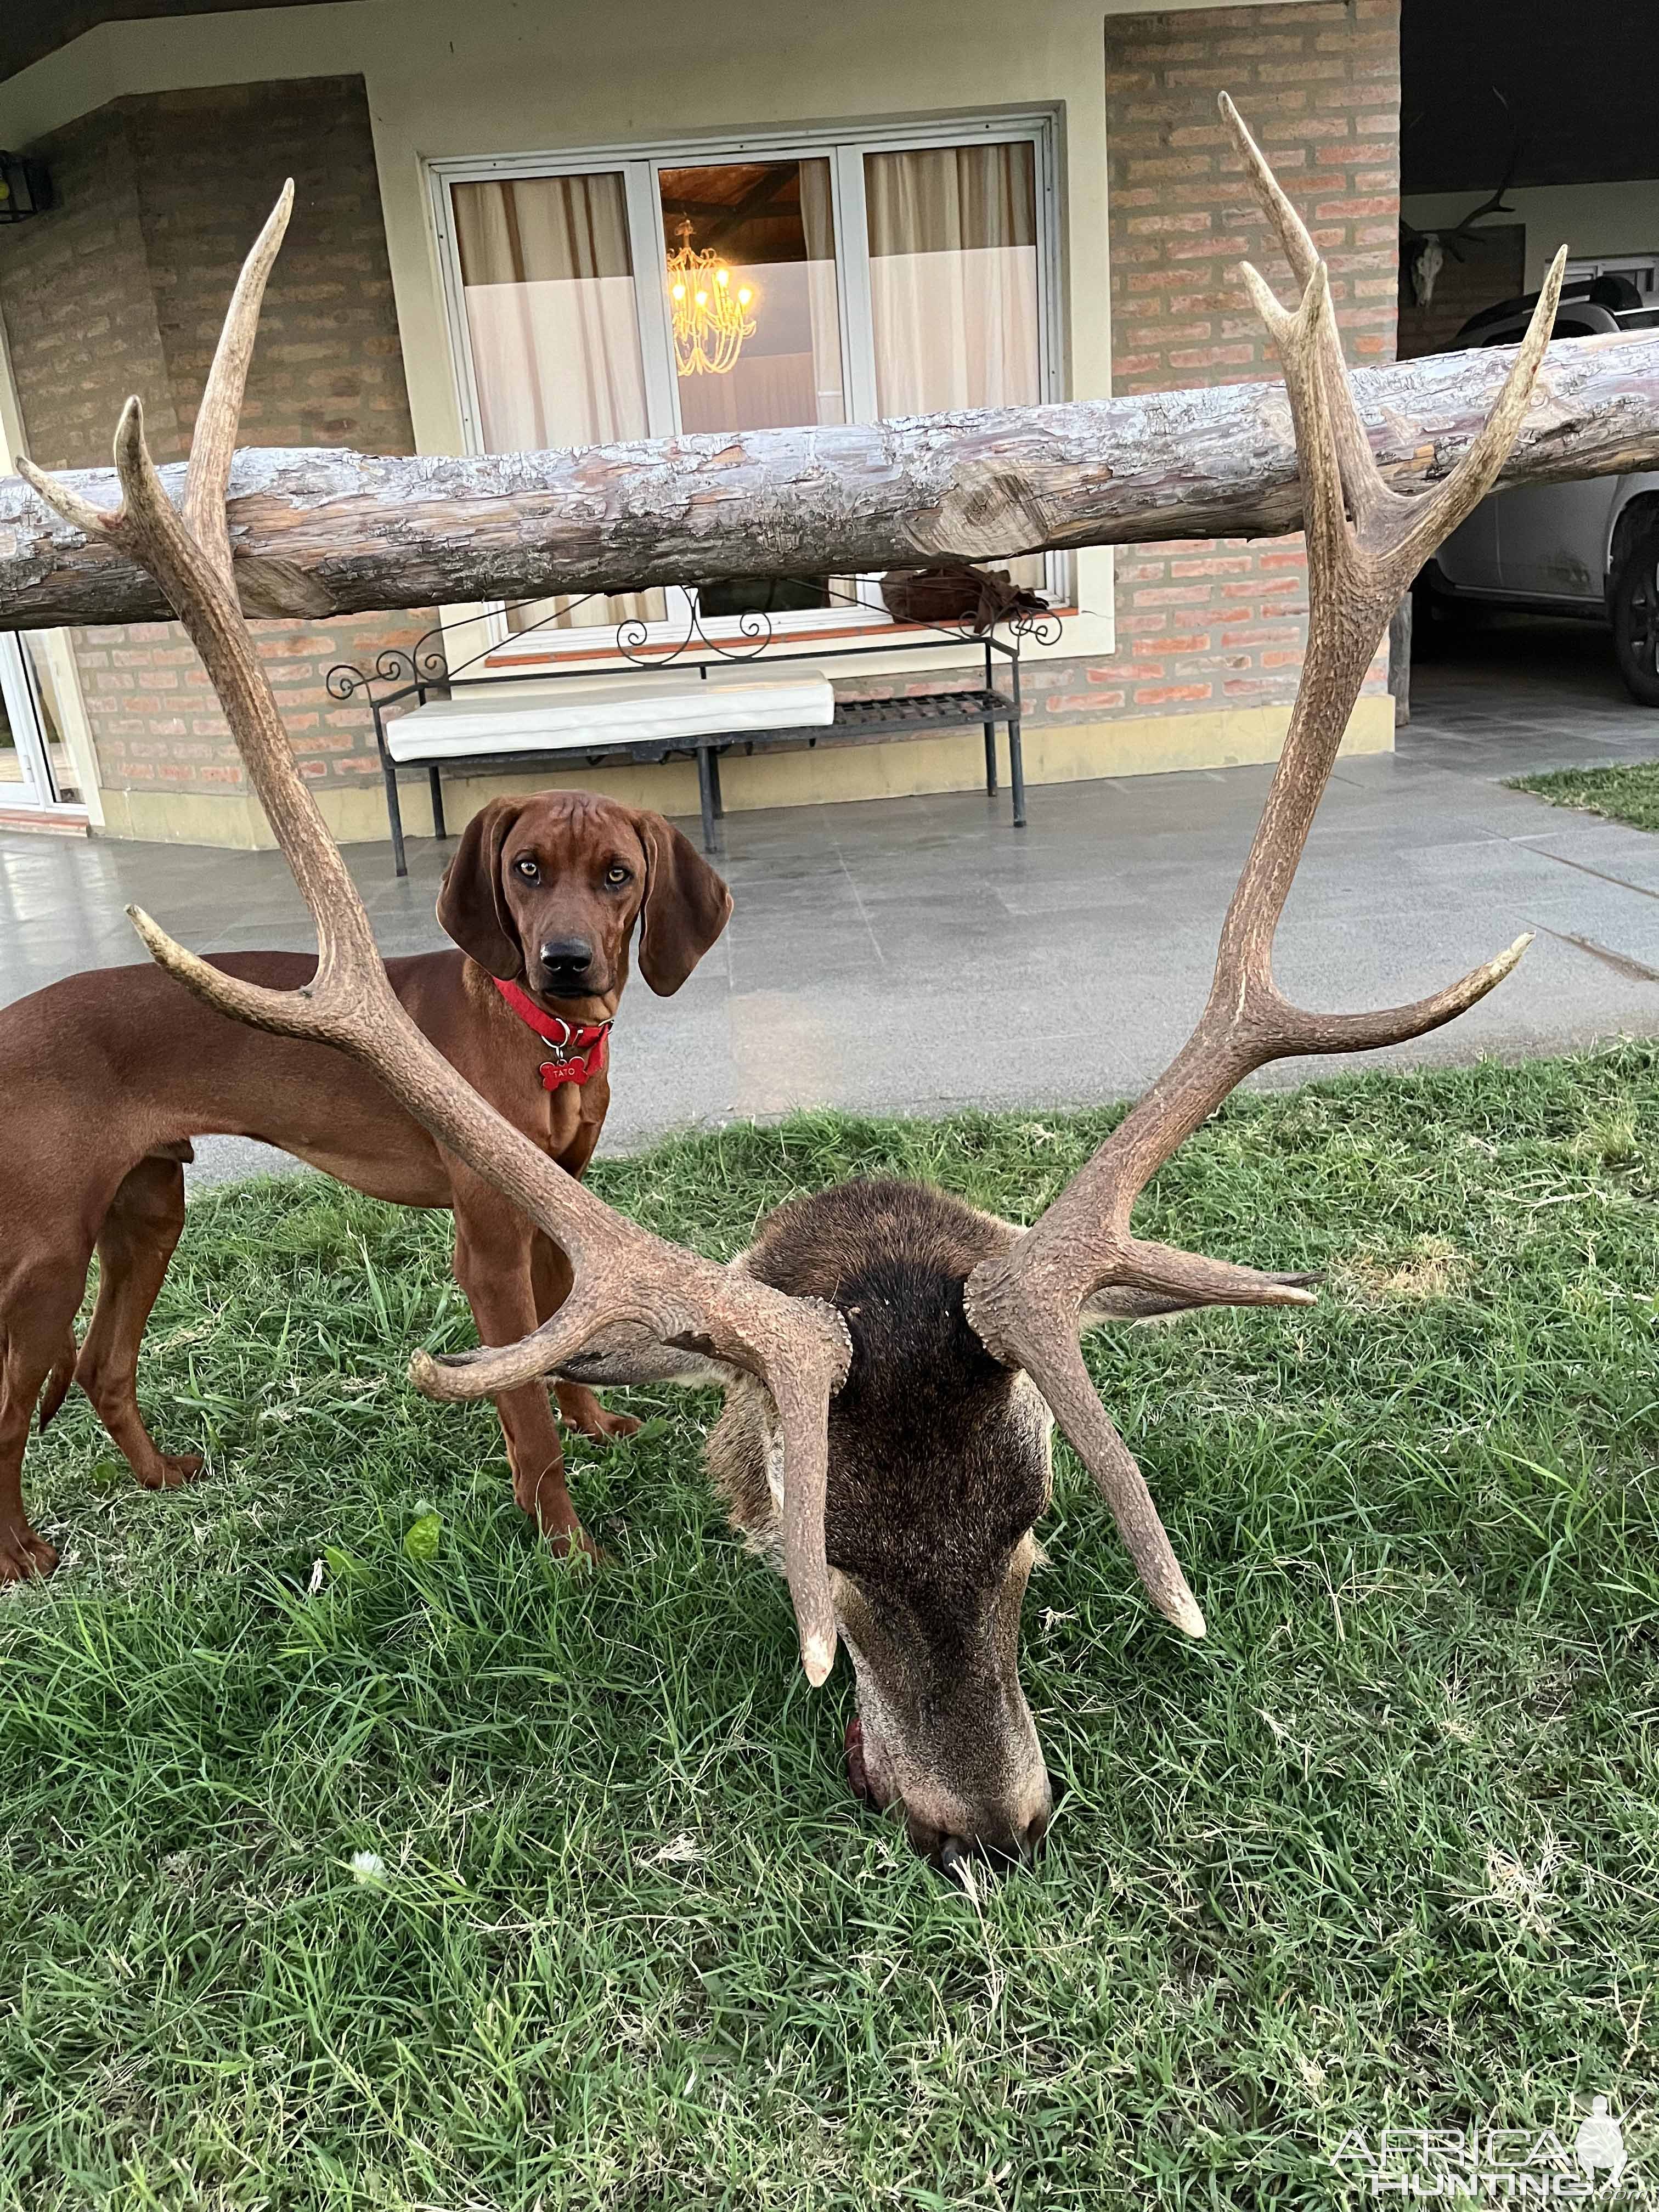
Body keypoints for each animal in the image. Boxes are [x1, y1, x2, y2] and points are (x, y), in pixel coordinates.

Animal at [0, 787, 725, 1583]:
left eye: (617, 874)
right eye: (527, 868)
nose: (564, 963)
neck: (546, 1037)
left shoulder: (559, 1220)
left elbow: (564, 1348)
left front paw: (592, 1425)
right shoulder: (491, 1254)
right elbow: (527, 1414)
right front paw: (566, 1547)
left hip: (148, 1218)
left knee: (104, 1365)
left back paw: (158, 1476)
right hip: (48, 1265)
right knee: (10, 1413)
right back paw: (20, 1554)